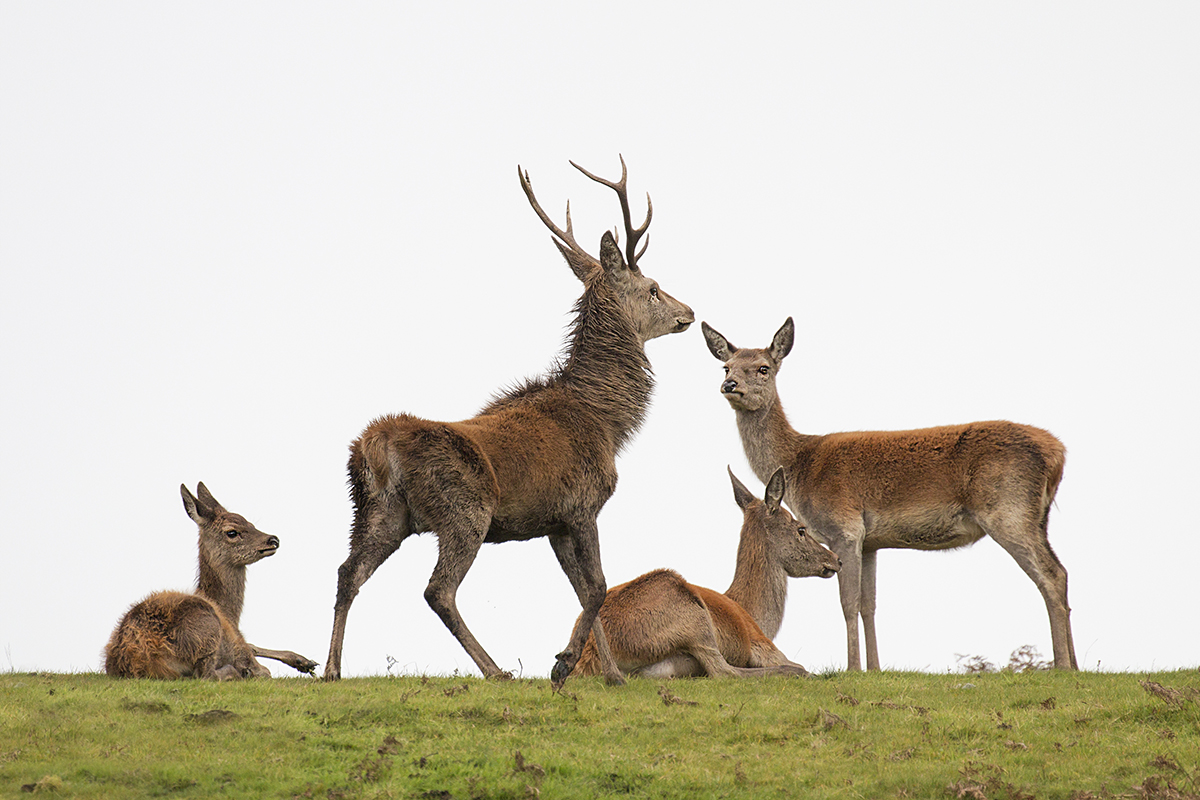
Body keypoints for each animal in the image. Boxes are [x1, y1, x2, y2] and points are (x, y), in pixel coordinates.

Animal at [104, 484, 319, 681]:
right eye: (232, 532)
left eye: (251, 523)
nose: (273, 540)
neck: (230, 615)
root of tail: (143, 657)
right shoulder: (238, 644)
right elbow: (261, 666)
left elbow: (254, 646)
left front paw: (305, 661)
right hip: (207, 630)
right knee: (207, 675)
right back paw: (241, 673)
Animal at [324, 158, 696, 690]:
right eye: (653, 289)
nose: (689, 312)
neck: (608, 423)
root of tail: (377, 445)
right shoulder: (582, 504)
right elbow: (599, 586)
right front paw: (565, 664)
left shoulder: (554, 522)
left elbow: (586, 591)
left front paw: (611, 675)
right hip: (465, 509)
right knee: (437, 590)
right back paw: (495, 668)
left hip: (379, 512)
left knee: (347, 572)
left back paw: (331, 668)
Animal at [573, 465, 844, 681]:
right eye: (801, 529)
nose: (836, 560)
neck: (756, 616)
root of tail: (589, 658)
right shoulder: (763, 645)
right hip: (694, 617)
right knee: (724, 671)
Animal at [700, 316, 1080, 671]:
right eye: (727, 366)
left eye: (763, 368)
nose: (729, 385)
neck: (799, 465)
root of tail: (1058, 454)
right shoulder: (870, 541)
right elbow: (869, 605)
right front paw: (874, 668)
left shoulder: (844, 527)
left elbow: (848, 602)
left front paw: (852, 667)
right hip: (1036, 516)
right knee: (1062, 572)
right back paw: (1076, 665)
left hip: (1007, 510)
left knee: (1050, 575)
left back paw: (1062, 665)